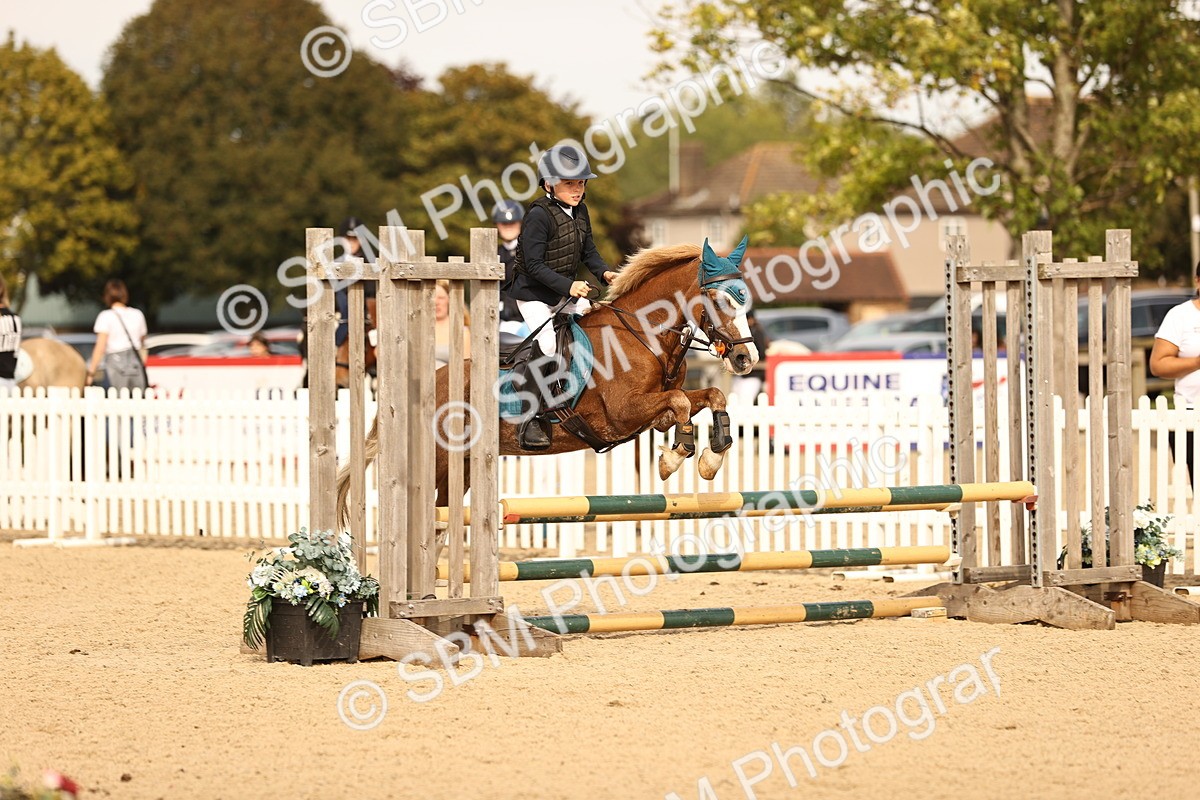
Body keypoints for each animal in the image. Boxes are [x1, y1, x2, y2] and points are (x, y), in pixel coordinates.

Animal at [335, 237, 760, 518]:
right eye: (720, 300)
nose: (745, 358)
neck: (643, 334)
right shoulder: (622, 413)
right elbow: (682, 402)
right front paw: (673, 459)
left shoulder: (655, 412)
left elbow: (709, 397)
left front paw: (709, 459)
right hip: (441, 462)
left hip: (467, 466)